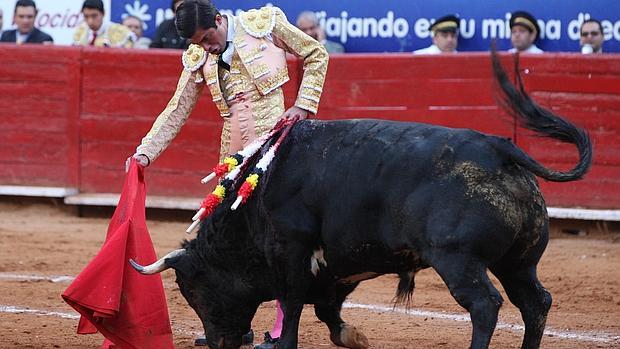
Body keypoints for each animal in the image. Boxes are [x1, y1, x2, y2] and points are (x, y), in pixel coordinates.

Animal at [132, 55, 592, 348]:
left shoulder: (290, 248)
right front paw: (354, 336)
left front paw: (284, 343)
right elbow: (326, 311)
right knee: (535, 302)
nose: (217, 343)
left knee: (485, 305)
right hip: (519, 261)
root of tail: (501, 149)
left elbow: (292, 301)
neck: (253, 200)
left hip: (457, 258)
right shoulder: (337, 263)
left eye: (191, 288)